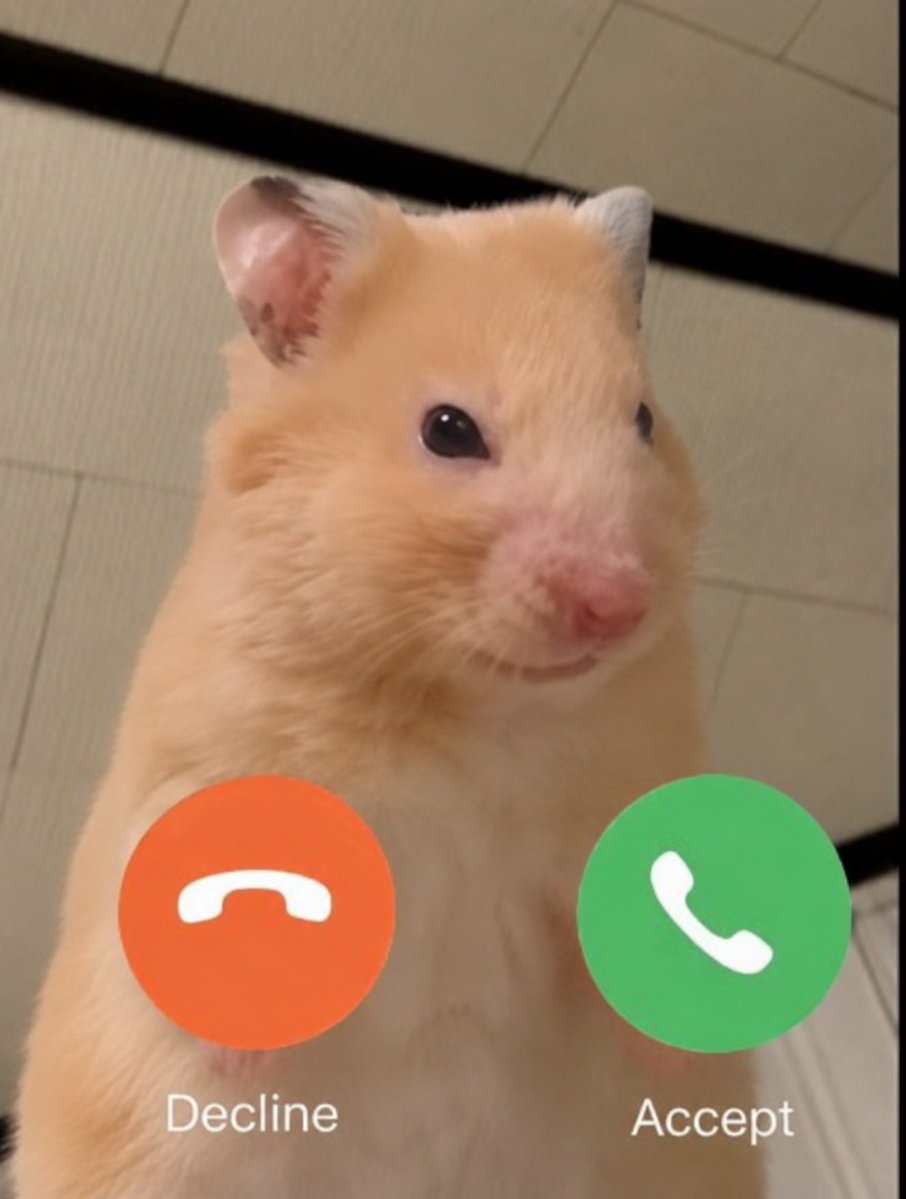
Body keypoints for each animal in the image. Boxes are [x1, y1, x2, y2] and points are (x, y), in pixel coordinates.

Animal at [13, 176, 765, 1199]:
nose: (617, 604)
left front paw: (675, 1051)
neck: (470, 705)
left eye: (644, 421)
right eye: (449, 430)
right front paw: (246, 1055)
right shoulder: (195, 768)